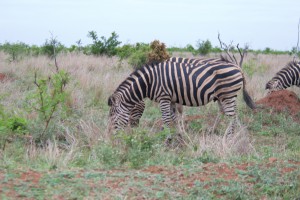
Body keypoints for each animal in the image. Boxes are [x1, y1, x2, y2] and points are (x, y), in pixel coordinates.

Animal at [108, 56, 255, 134]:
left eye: (113, 116)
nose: (112, 136)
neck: (150, 81)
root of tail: (237, 67)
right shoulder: (173, 98)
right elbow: (174, 117)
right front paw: (180, 133)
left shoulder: (164, 97)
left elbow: (167, 118)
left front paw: (168, 137)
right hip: (222, 96)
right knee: (226, 112)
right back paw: (216, 130)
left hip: (228, 94)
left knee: (232, 115)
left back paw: (228, 135)